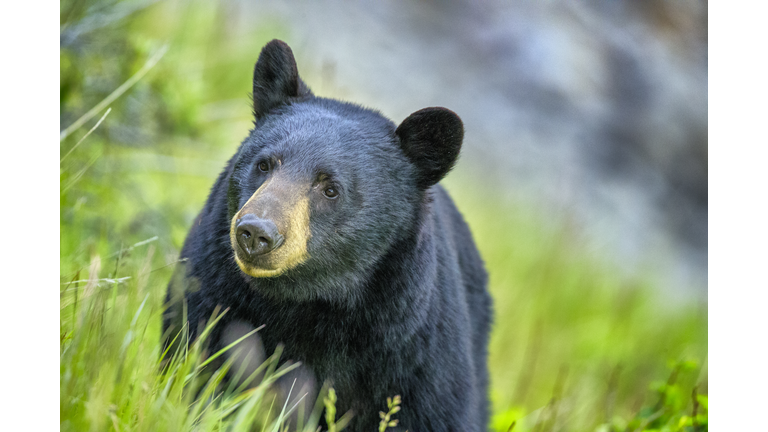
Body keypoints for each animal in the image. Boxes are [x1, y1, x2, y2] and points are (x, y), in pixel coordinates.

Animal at [165, 38, 496, 430]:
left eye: (330, 188)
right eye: (264, 164)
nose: (256, 233)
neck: (312, 302)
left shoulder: (416, 355)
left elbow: (434, 411)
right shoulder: (212, 292)